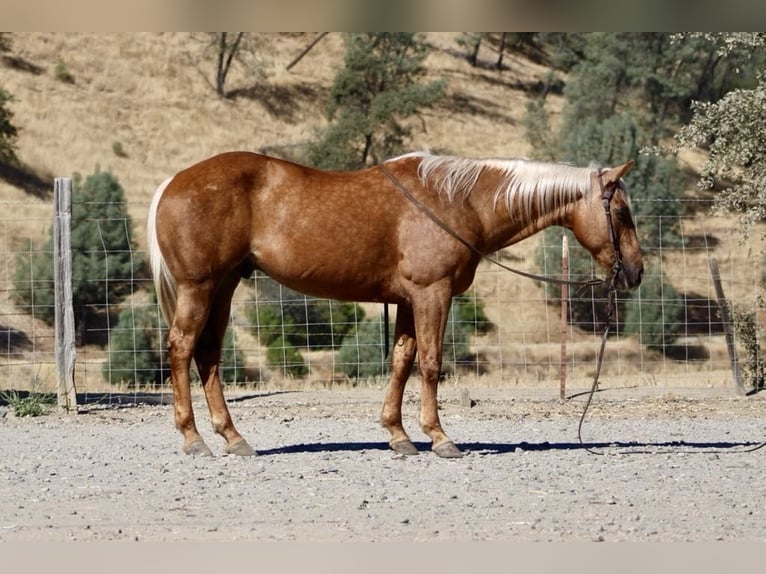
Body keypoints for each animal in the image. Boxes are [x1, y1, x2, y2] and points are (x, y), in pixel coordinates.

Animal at [147, 150, 643, 458]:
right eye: (621, 212)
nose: (635, 271)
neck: (459, 201)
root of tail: (173, 182)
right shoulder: (432, 293)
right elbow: (430, 363)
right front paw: (439, 437)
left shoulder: (408, 300)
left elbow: (402, 361)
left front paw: (398, 434)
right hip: (199, 287)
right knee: (182, 348)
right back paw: (193, 438)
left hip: (224, 287)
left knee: (209, 354)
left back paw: (233, 438)